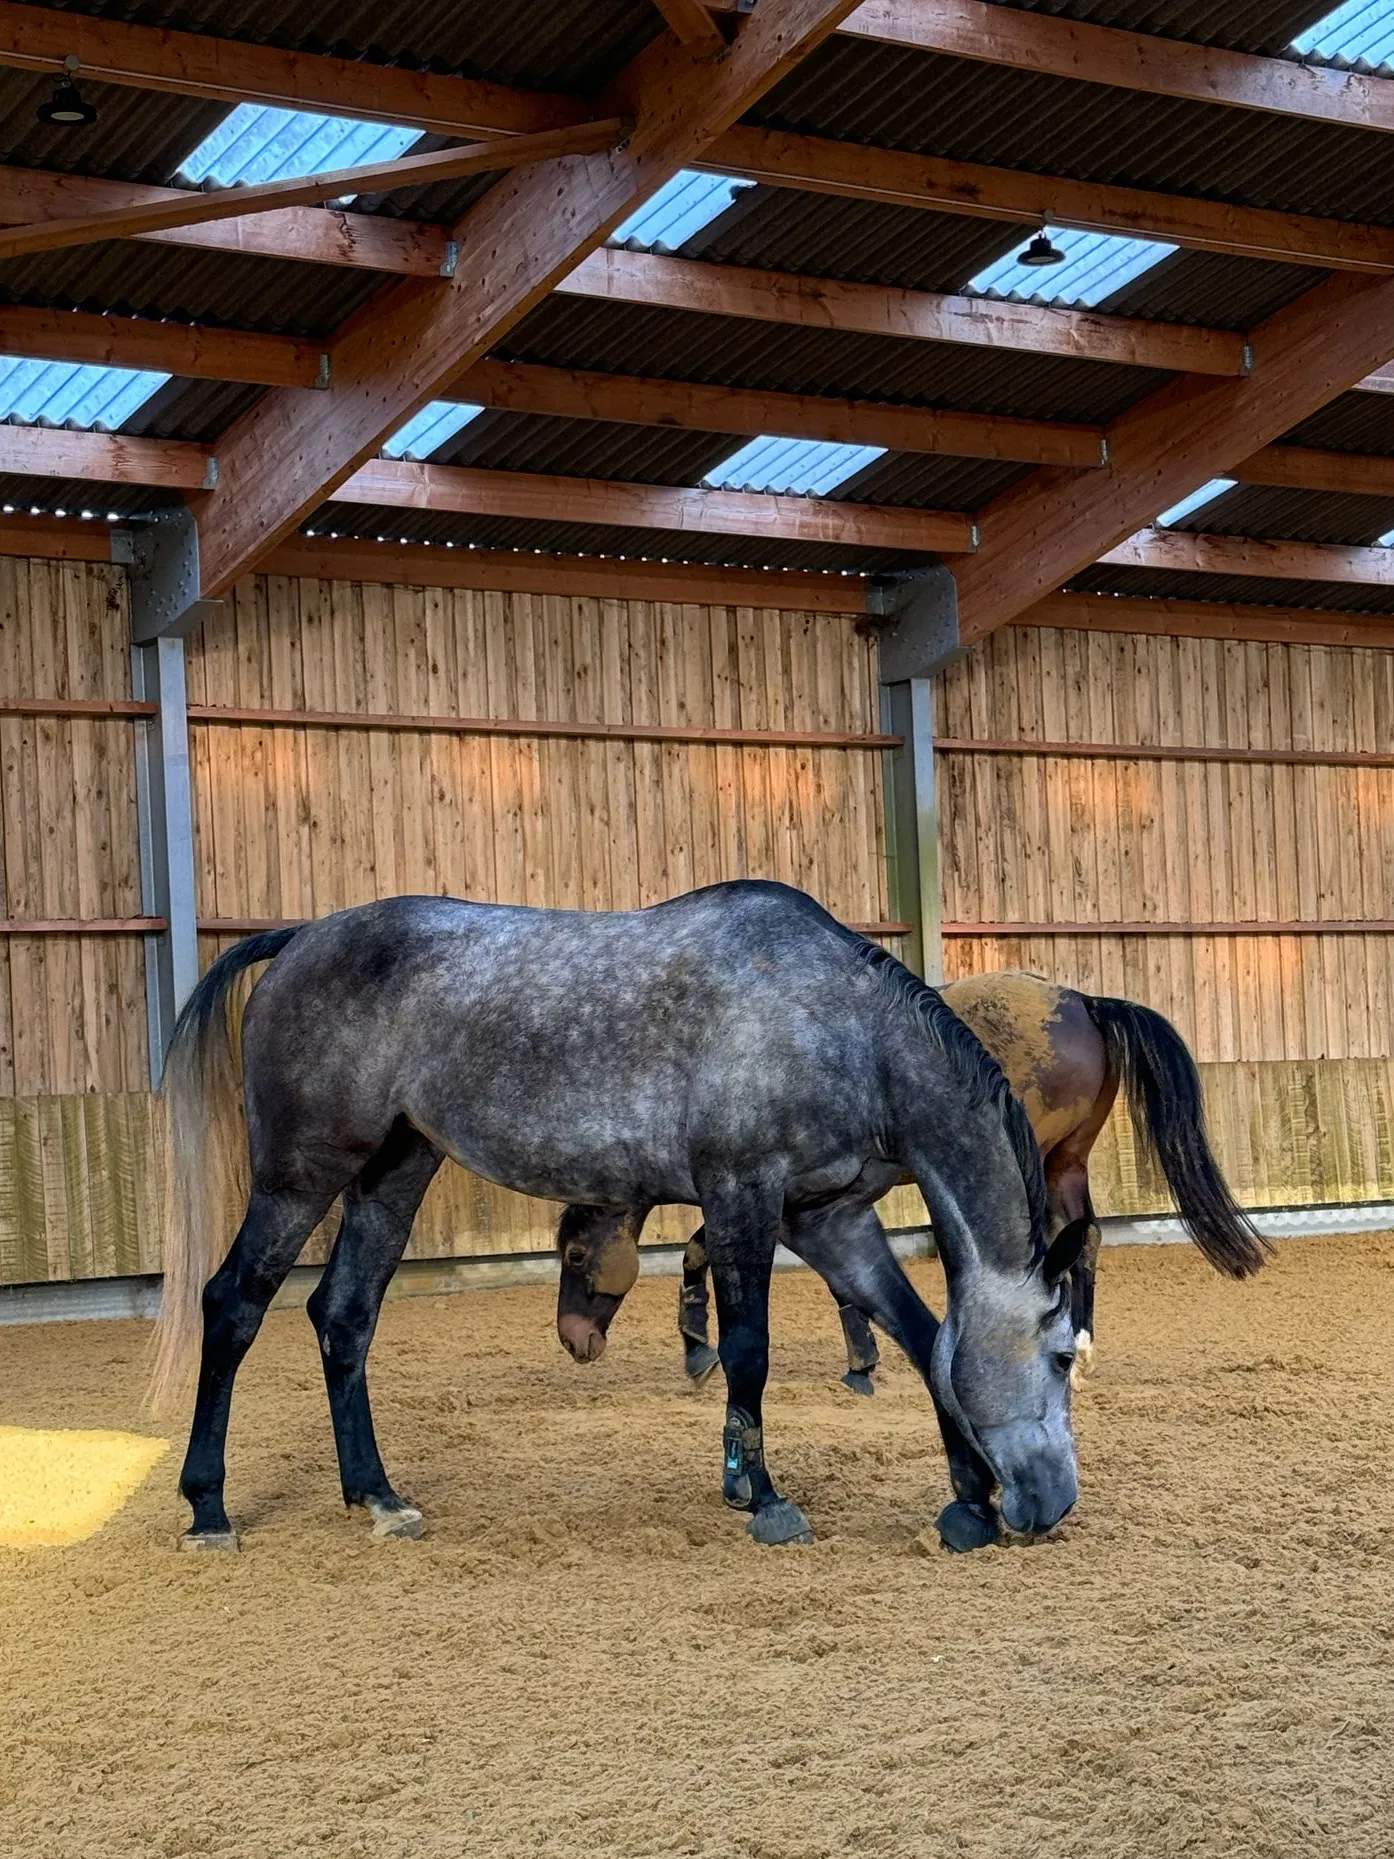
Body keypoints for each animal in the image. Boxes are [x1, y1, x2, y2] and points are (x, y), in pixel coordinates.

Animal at [152, 881, 1087, 1558]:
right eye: (1061, 1355)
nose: (1051, 1502)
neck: (838, 1024)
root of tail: (300, 936)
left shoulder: (829, 1221)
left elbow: (926, 1339)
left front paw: (965, 1501)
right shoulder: (743, 1196)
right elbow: (749, 1351)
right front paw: (766, 1499)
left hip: (394, 1173)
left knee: (344, 1316)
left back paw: (376, 1495)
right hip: (300, 1173)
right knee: (232, 1304)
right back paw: (208, 1508)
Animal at [554, 973, 1269, 1394]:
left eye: (577, 1254)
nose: (572, 1340)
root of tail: (1081, 1003)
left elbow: (699, 1249)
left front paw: (699, 1350)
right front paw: (862, 1359)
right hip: (1064, 1161)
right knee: (1085, 1240)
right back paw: (1077, 1348)